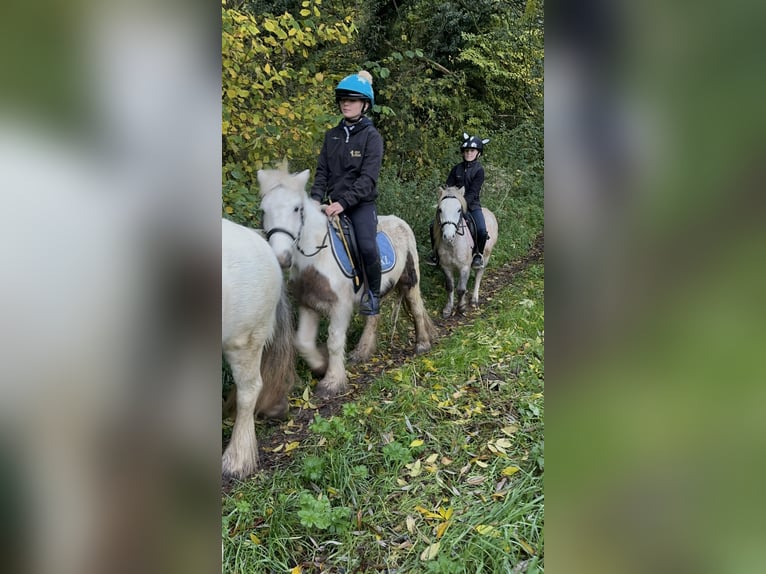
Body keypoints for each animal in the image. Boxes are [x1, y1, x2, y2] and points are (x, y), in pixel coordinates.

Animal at [260, 169, 436, 398]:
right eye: (263, 210)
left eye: (297, 208)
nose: (281, 257)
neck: (318, 256)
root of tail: (401, 221)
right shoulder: (308, 304)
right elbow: (303, 342)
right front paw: (321, 366)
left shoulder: (340, 307)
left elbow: (334, 341)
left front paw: (332, 383)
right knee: (374, 317)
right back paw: (361, 352)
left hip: (410, 280)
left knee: (416, 308)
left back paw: (422, 345)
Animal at [436, 186, 500, 318]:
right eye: (440, 210)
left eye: (459, 210)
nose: (448, 236)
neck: (453, 244)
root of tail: (489, 212)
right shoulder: (446, 267)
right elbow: (450, 287)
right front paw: (448, 309)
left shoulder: (464, 267)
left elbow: (461, 289)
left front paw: (461, 308)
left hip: (485, 257)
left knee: (478, 275)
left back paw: (474, 300)